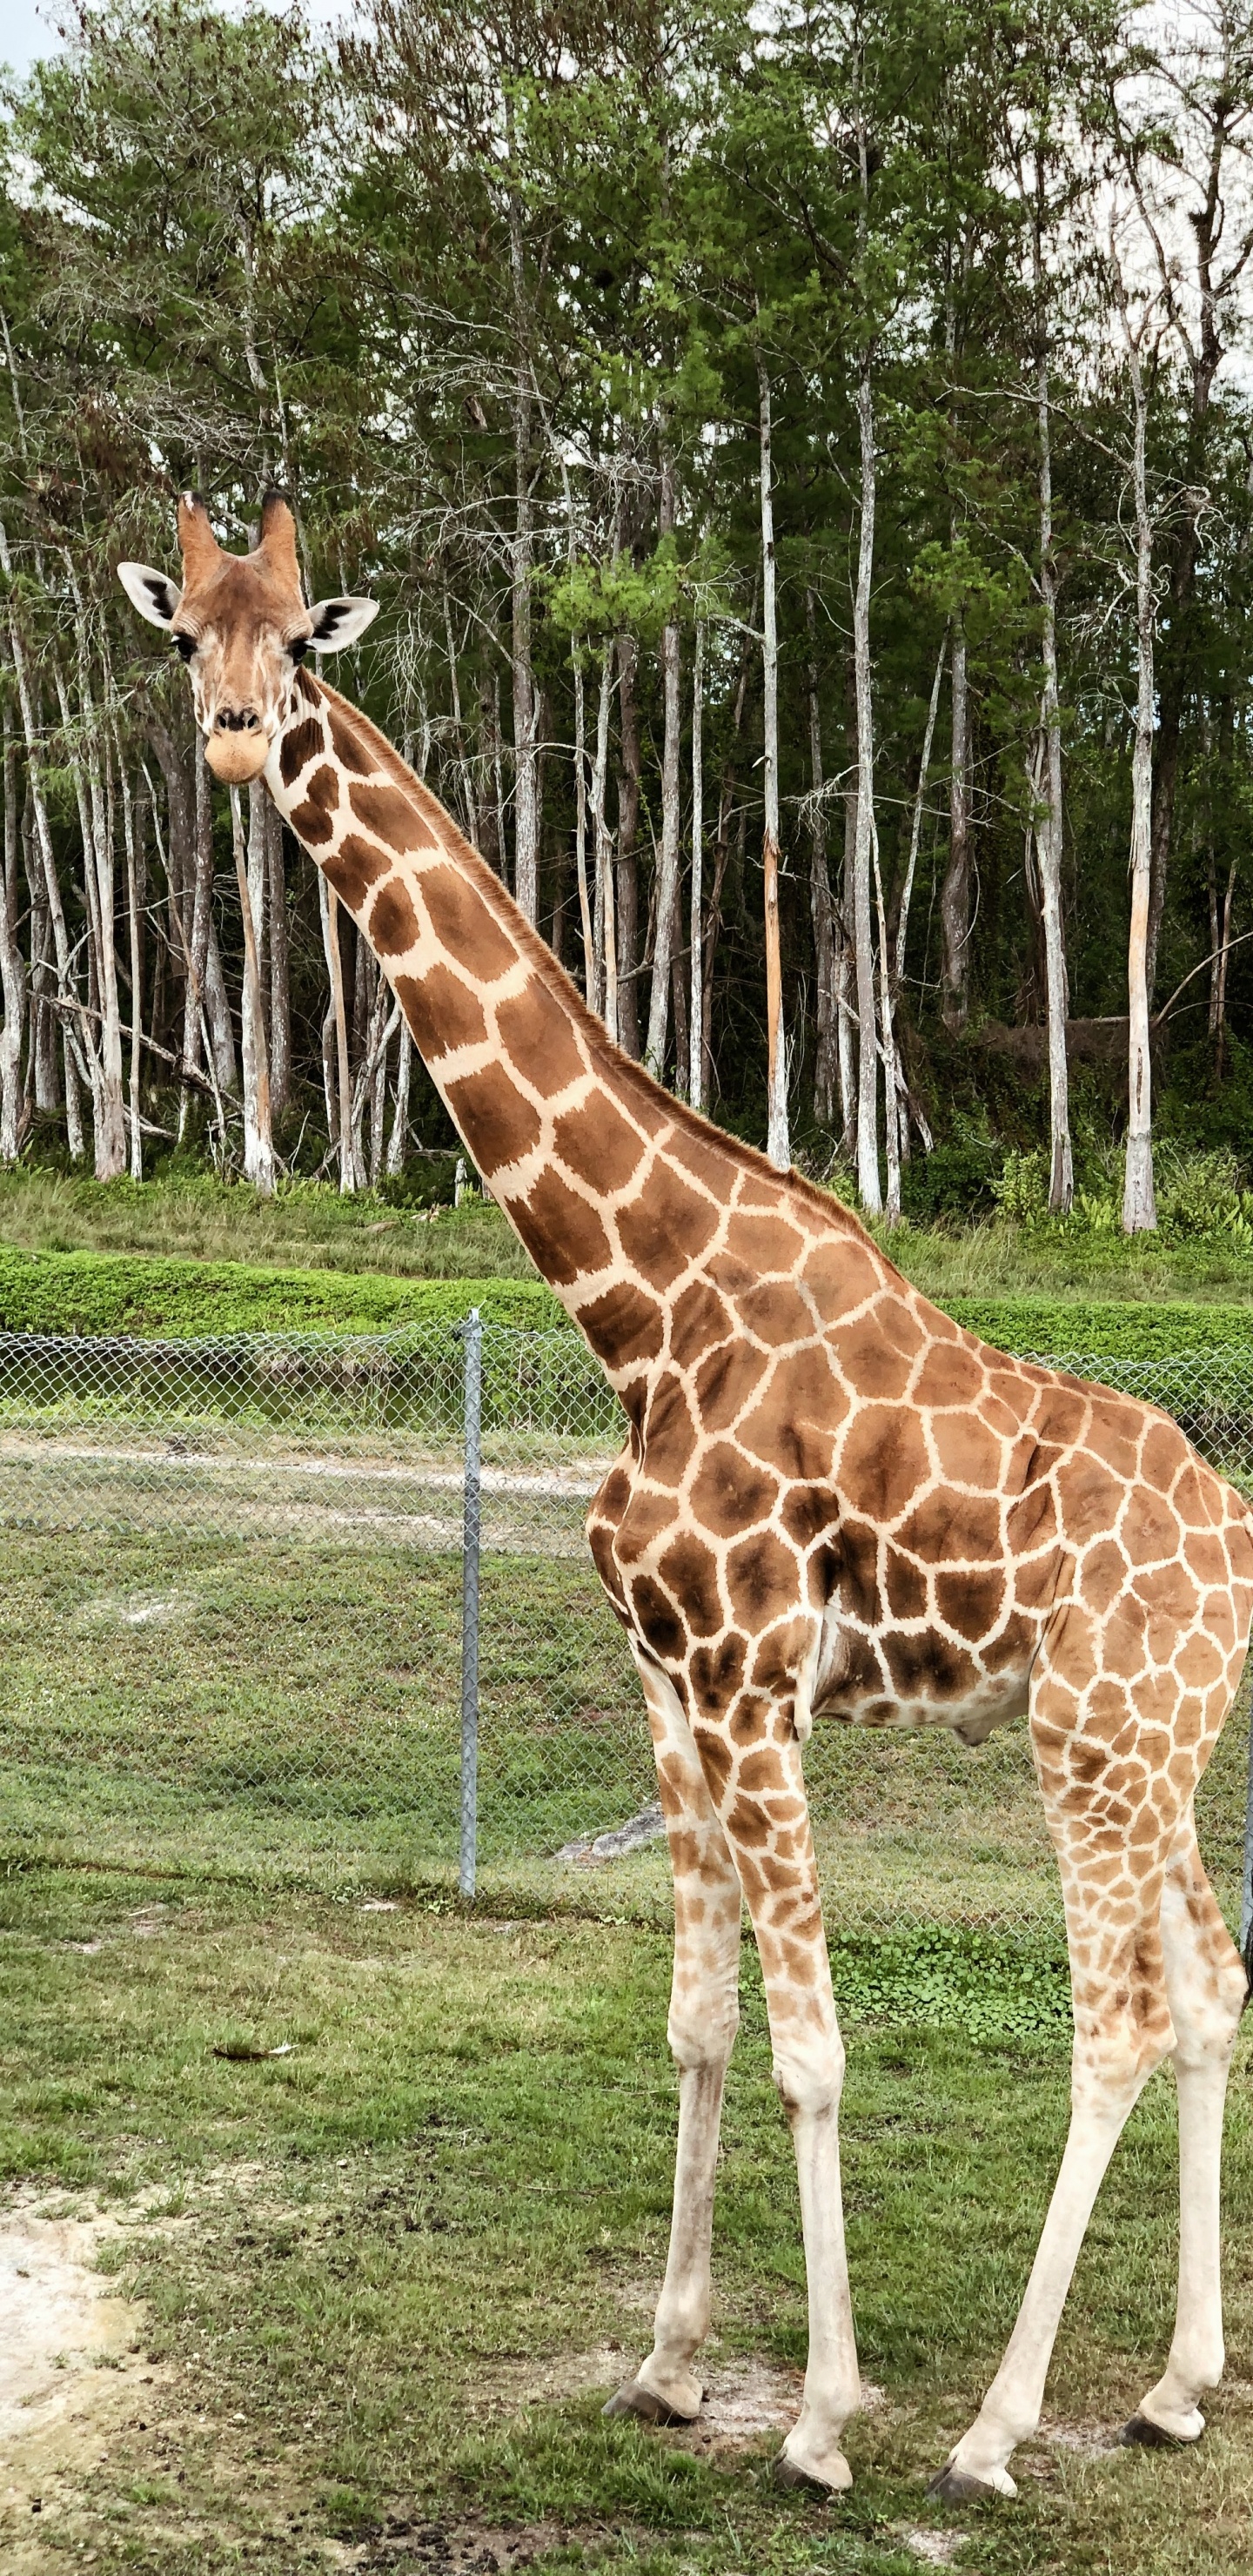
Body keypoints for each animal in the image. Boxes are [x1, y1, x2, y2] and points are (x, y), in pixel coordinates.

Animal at [119, 494, 1253, 2502]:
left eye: (306, 647)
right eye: (192, 639)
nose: (242, 741)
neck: (643, 1307)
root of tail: (1242, 1549)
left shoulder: (750, 1678)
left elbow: (814, 2047)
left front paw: (819, 2418)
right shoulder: (663, 1681)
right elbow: (700, 2021)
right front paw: (663, 2362)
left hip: (1097, 1744)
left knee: (1118, 2019)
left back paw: (992, 2429)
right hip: (1154, 1744)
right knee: (1208, 1993)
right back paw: (1175, 2385)